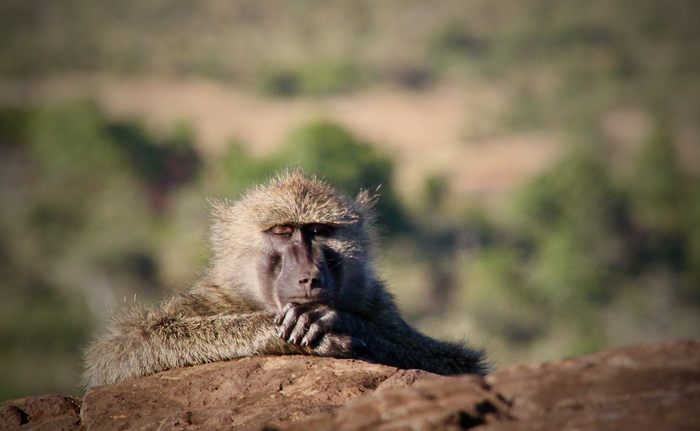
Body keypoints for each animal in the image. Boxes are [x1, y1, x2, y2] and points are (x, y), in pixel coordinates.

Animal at [82, 171, 487, 387]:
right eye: (282, 231)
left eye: (319, 231)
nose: (308, 278)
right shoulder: (210, 299)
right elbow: (123, 349)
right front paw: (274, 330)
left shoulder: (375, 303)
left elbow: (460, 364)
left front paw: (333, 321)